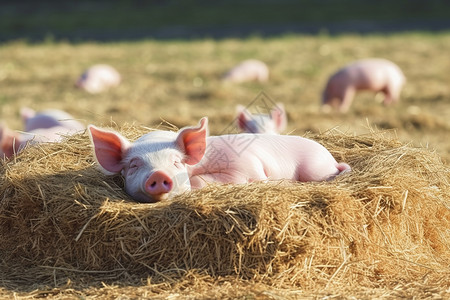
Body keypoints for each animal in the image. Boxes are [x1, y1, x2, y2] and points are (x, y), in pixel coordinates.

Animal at [86, 116, 350, 203]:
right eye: (134, 165)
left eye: (176, 162)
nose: (159, 175)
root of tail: (330, 158)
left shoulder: (248, 168)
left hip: (314, 168)